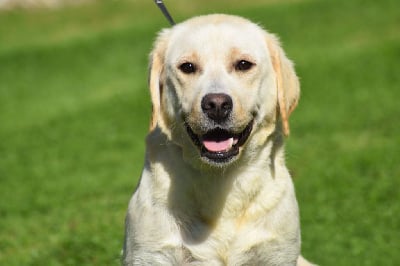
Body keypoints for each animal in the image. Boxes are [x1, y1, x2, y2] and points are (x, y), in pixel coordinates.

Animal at [123, 14, 314, 266]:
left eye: (243, 64)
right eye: (188, 67)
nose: (216, 105)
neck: (221, 180)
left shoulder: (278, 252)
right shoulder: (151, 254)